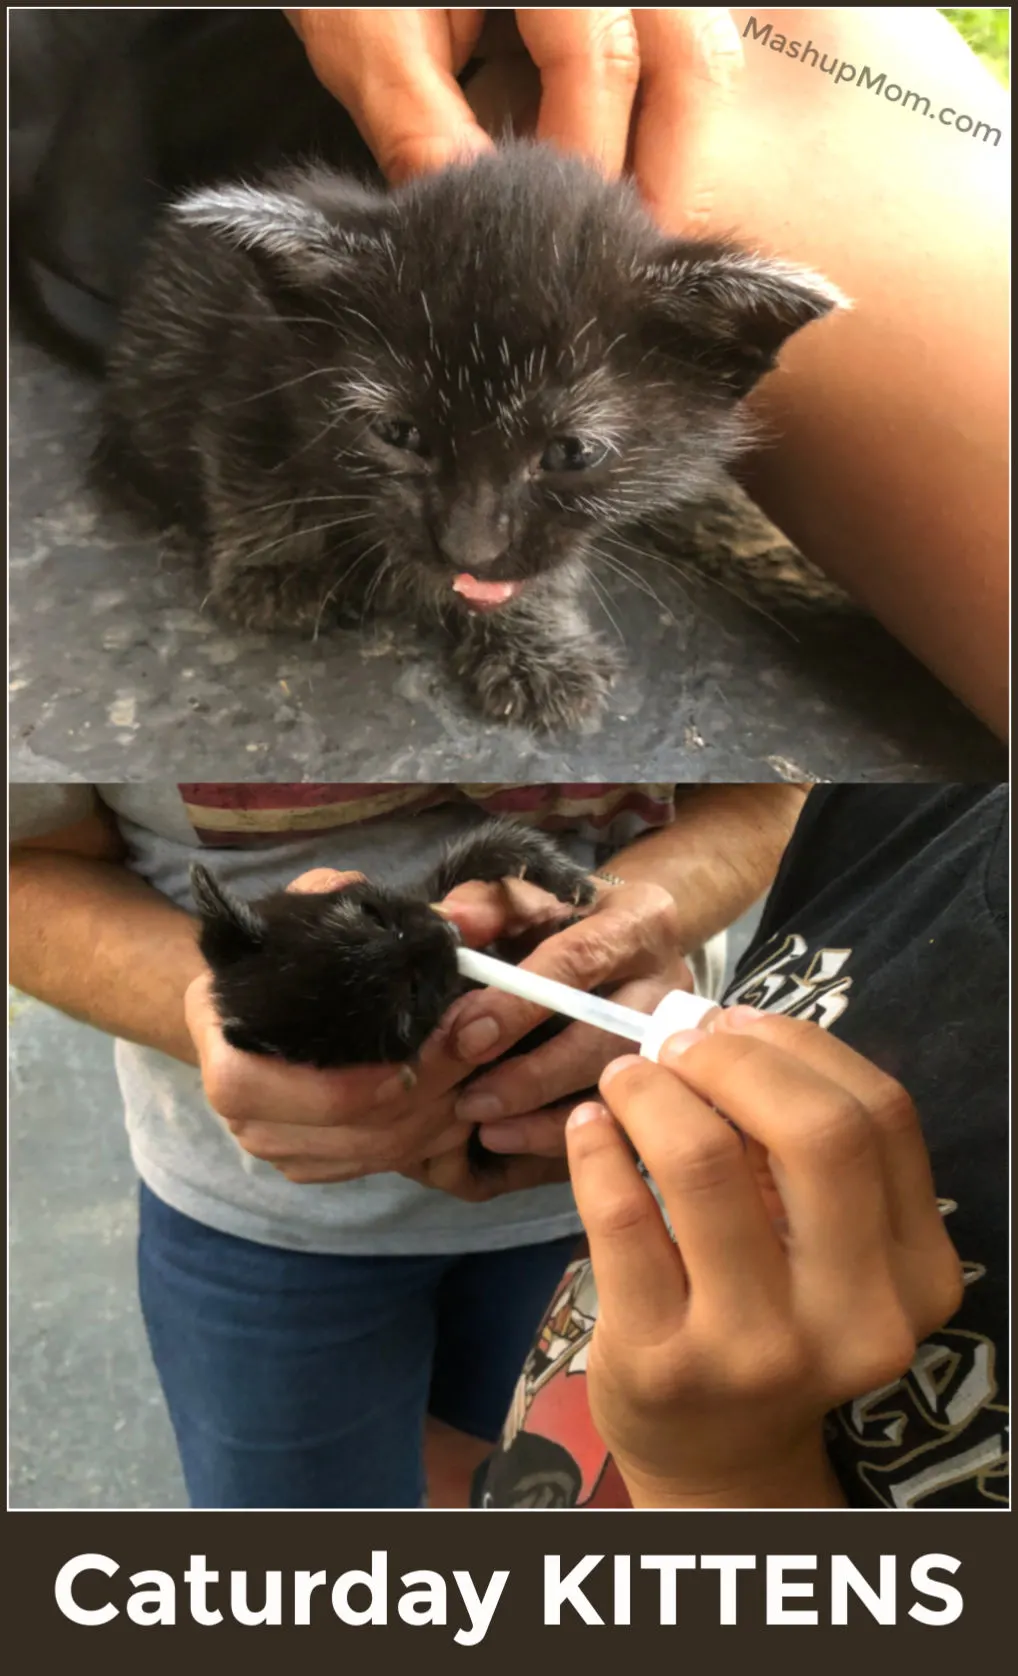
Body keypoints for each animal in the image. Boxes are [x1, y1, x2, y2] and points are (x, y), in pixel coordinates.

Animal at [95, 139, 848, 727]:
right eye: (397, 432)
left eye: (571, 452)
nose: (468, 547)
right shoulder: (253, 364)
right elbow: (249, 469)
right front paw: (276, 567)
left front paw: (537, 644)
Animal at [189, 817, 597, 1065]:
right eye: (412, 994)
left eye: (373, 916)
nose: (445, 935)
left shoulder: (432, 896)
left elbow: (479, 850)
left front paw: (563, 877)